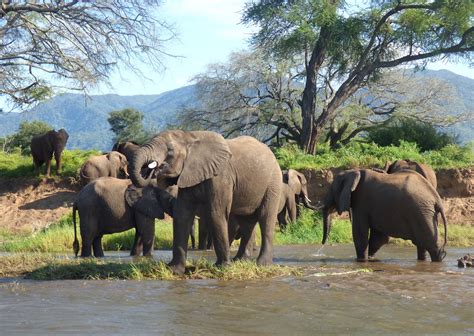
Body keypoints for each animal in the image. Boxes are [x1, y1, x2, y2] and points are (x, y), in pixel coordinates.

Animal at [128, 130, 282, 274]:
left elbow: (216, 214)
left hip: (273, 183)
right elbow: (182, 215)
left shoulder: (221, 177)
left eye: (170, 150)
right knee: (246, 222)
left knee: (266, 219)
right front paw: (174, 270)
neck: (191, 136)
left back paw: (262, 264)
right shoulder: (187, 174)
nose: (151, 168)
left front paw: (222, 268)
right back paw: (240, 261)